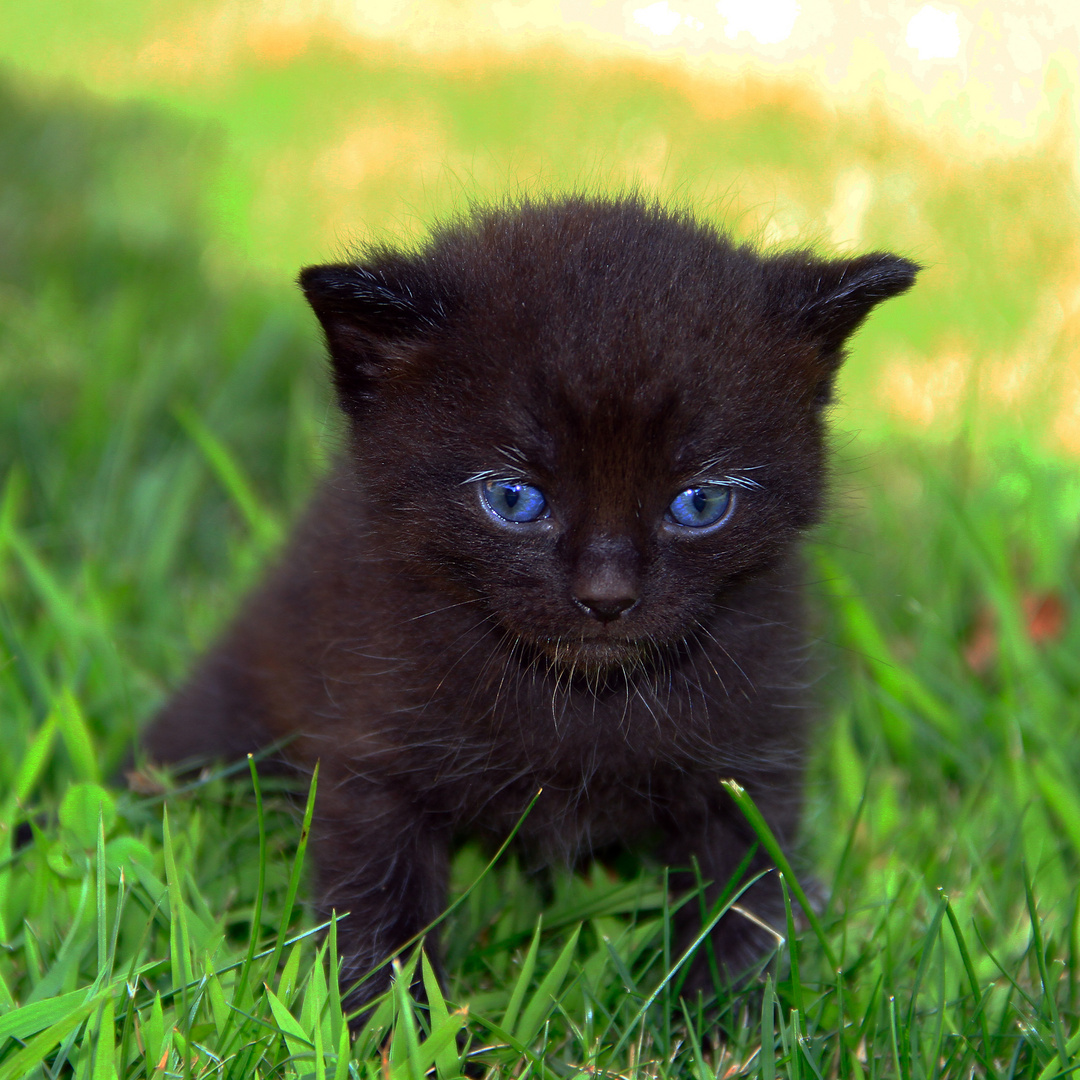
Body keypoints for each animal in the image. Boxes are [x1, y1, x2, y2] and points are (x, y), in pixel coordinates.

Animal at [143, 194, 920, 1010]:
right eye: (513, 498)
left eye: (701, 503)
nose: (607, 596)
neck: (582, 705)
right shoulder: (370, 748)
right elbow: (380, 908)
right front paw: (391, 1024)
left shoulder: (751, 755)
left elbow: (742, 902)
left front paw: (728, 1017)